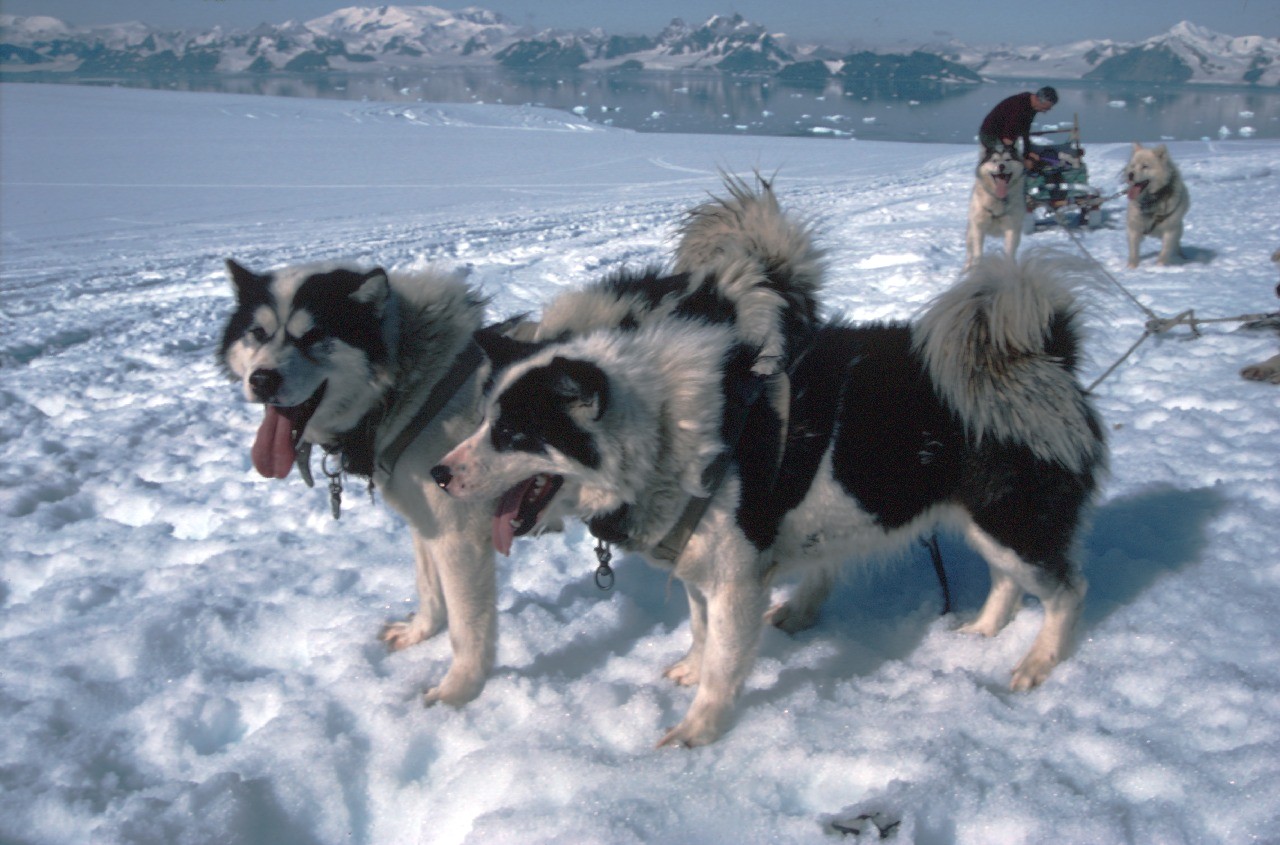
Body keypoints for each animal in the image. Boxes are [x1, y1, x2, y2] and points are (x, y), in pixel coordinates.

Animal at [217, 176, 819, 711]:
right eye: (258, 334)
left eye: (314, 335)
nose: (263, 380)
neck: (416, 380)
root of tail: (735, 282)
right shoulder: (427, 521)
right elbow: (429, 592)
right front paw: (419, 633)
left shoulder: (460, 539)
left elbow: (467, 629)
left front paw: (457, 693)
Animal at [432, 249, 1111, 747]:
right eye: (483, 420)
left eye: (512, 434)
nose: (438, 472)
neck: (665, 430)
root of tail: (1043, 357)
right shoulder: (700, 567)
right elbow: (702, 633)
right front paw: (690, 666)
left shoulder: (738, 581)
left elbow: (724, 666)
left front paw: (698, 730)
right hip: (984, 521)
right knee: (1008, 581)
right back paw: (985, 631)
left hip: (1010, 521)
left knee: (1067, 590)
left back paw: (1040, 662)